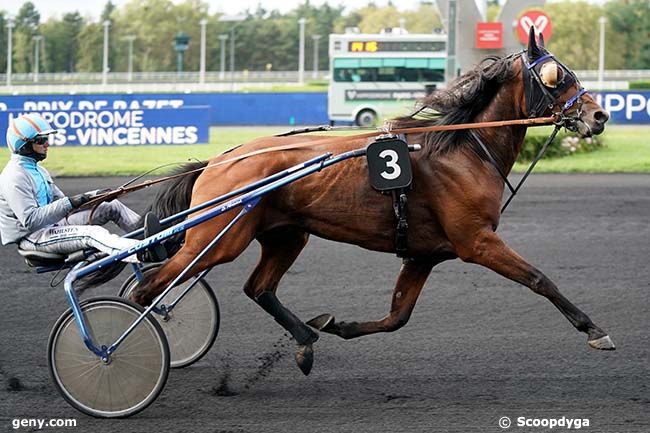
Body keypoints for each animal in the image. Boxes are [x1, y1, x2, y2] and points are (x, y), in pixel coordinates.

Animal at [123, 29, 612, 374]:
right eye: (557, 77)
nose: (599, 115)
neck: (464, 149)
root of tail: (219, 159)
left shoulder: (424, 253)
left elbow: (397, 316)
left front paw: (337, 325)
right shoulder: (477, 241)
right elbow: (539, 279)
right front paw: (594, 329)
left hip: (286, 235)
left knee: (258, 287)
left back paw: (305, 341)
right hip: (218, 240)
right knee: (151, 290)